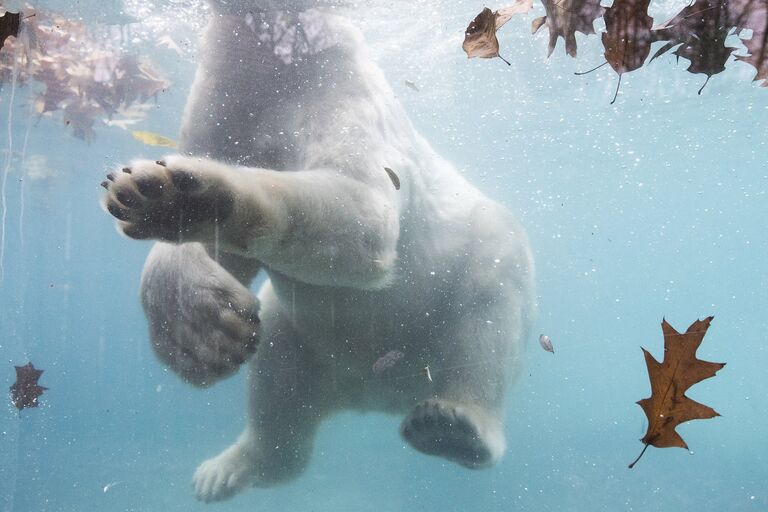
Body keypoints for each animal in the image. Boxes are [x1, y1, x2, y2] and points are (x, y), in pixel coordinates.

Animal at [100, 1, 536, 504]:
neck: (278, 59)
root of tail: (375, 393)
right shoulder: (225, 99)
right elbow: (219, 261)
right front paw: (196, 329)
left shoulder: (336, 84)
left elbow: (363, 209)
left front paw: (189, 197)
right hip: (309, 340)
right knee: (275, 369)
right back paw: (227, 470)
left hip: (474, 271)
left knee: (489, 310)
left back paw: (453, 425)